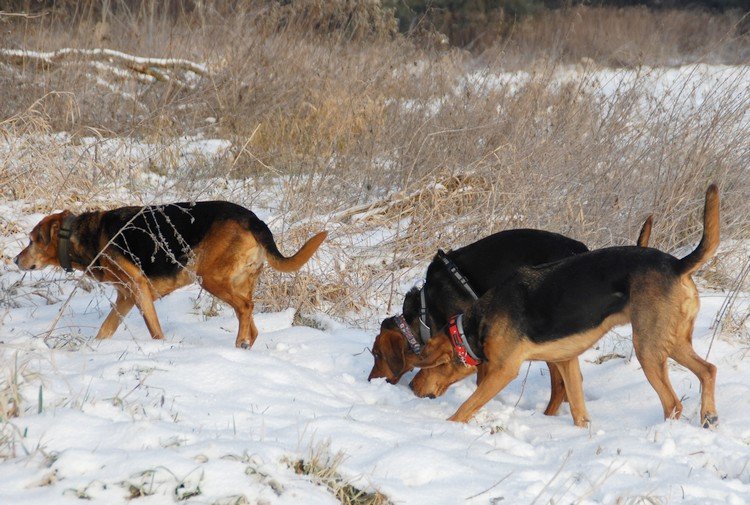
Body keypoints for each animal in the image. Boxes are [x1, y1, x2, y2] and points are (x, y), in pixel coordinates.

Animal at [13, 201, 328, 346]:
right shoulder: (125, 298)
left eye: (31, 240)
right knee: (252, 321)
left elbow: (155, 331)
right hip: (238, 280)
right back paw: (247, 346)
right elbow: (105, 330)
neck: (83, 236)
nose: (15, 260)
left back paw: (240, 343)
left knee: (245, 308)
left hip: (211, 278)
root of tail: (254, 220)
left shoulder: (138, 290)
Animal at [412, 185, 724, 430]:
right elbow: (578, 411)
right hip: (671, 341)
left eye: (429, 364)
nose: (412, 387)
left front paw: (447, 427)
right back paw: (708, 417)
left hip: (648, 347)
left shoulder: (502, 371)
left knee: (673, 404)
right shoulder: (566, 361)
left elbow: (466, 407)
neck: (473, 326)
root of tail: (677, 265)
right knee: (708, 370)